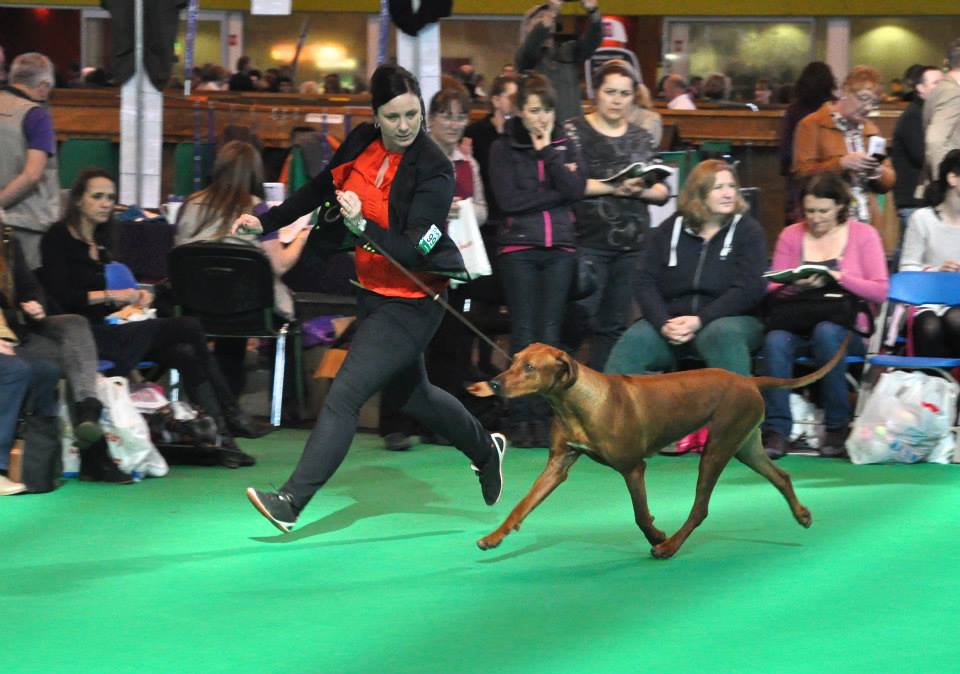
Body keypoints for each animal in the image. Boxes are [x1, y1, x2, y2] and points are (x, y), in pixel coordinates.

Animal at [468, 336, 852, 556]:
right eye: (514, 360)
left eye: (530, 367)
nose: (494, 383)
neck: (576, 402)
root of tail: (748, 379)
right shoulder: (558, 465)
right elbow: (522, 505)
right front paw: (494, 536)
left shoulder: (633, 467)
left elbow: (640, 515)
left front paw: (655, 535)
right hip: (745, 445)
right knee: (781, 476)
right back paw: (801, 514)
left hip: (717, 449)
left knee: (700, 508)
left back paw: (669, 546)